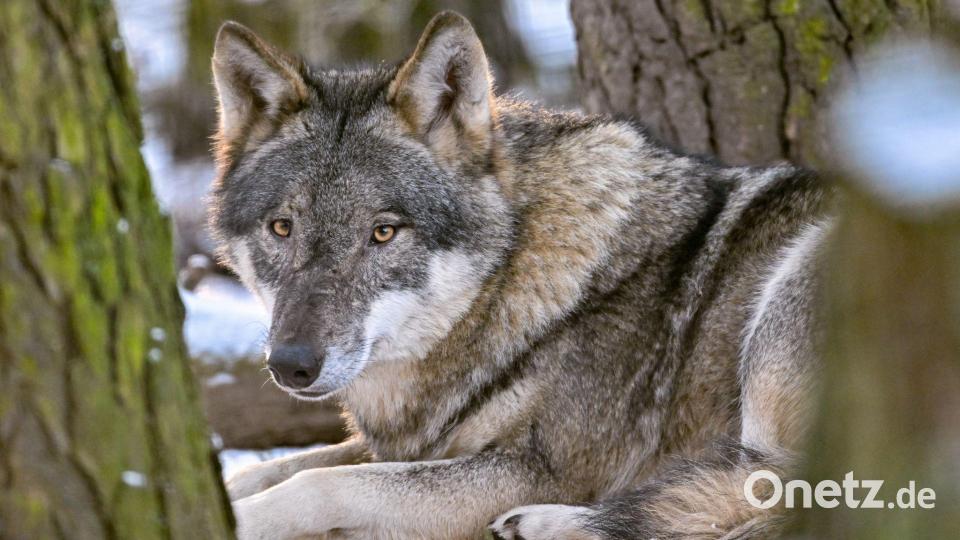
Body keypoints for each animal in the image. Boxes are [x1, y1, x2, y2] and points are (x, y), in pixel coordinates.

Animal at [208, 11, 830, 540]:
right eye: (282, 227)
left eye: (383, 232)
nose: (290, 364)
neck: (509, 284)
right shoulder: (421, 444)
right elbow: (267, 470)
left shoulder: (539, 469)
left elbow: (318, 484)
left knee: (778, 492)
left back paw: (549, 525)